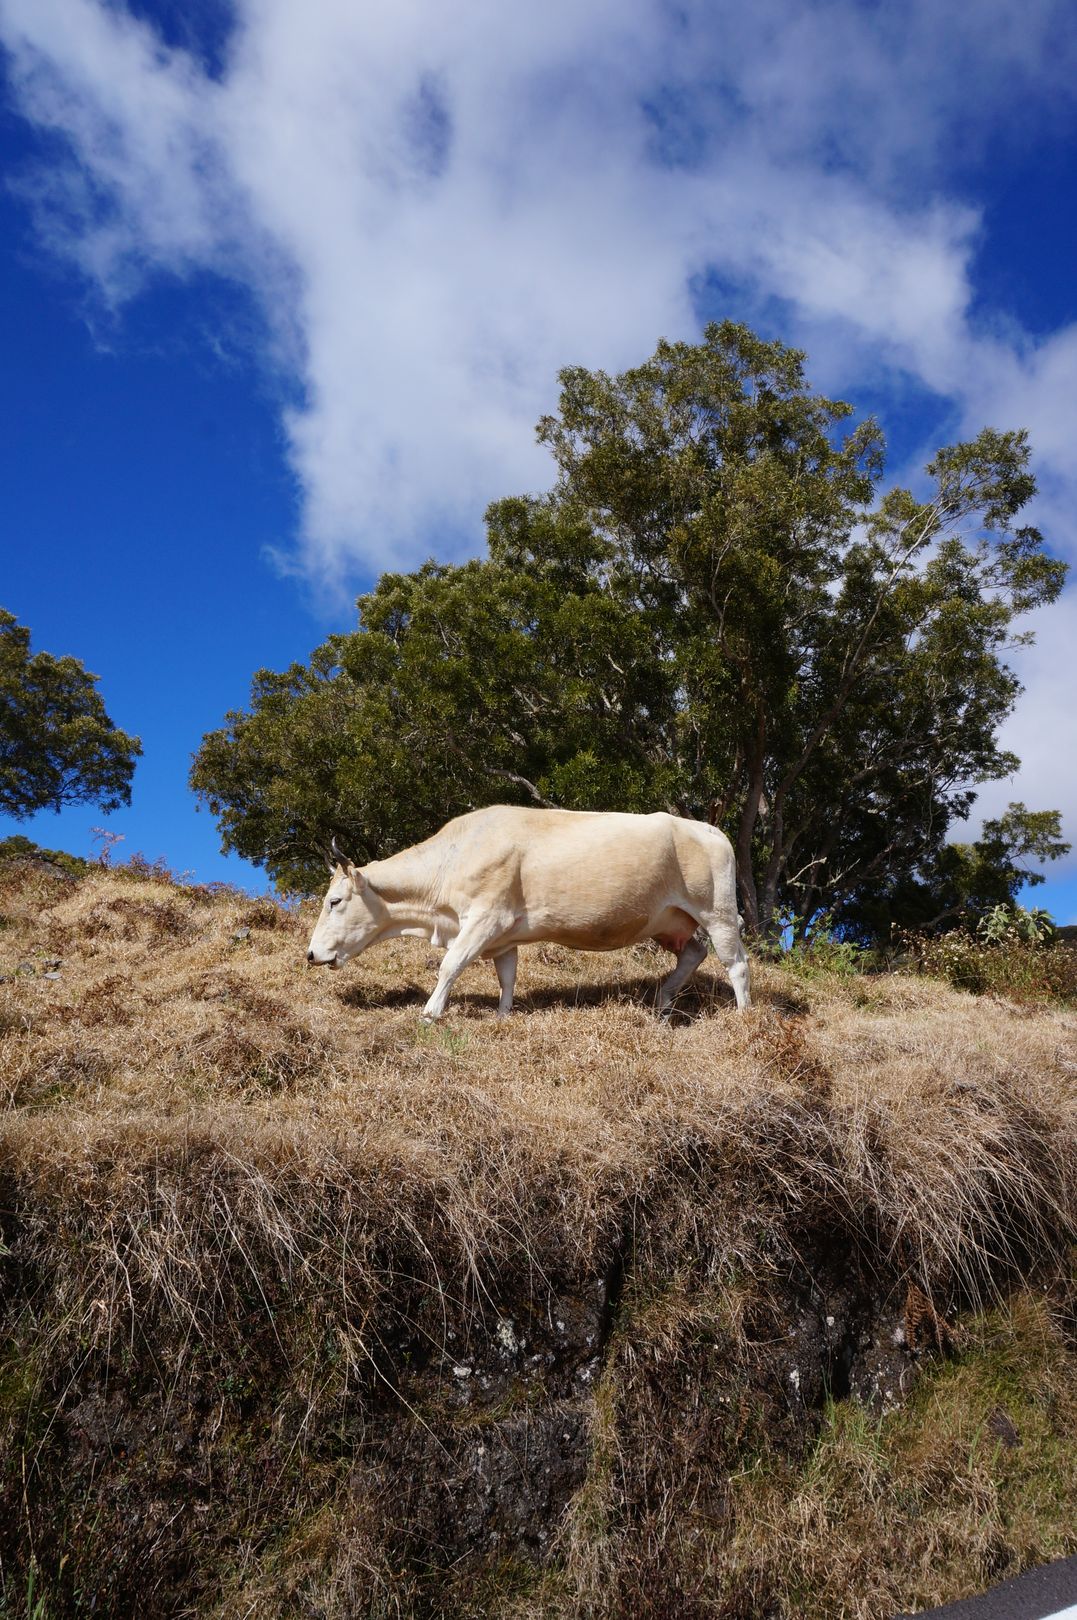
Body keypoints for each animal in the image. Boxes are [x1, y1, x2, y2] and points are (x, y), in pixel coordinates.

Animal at [307, 805, 751, 1021]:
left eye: (335, 901)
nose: (310, 954)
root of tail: (707, 827)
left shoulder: (486, 918)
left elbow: (450, 965)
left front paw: (430, 1013)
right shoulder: (503, 938)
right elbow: (507, 976)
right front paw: (504, 1015)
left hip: (718, 912)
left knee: (736, 964)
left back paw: (743, 1016)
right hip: (669, 921)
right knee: (694, 953)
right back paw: (662, 1002)